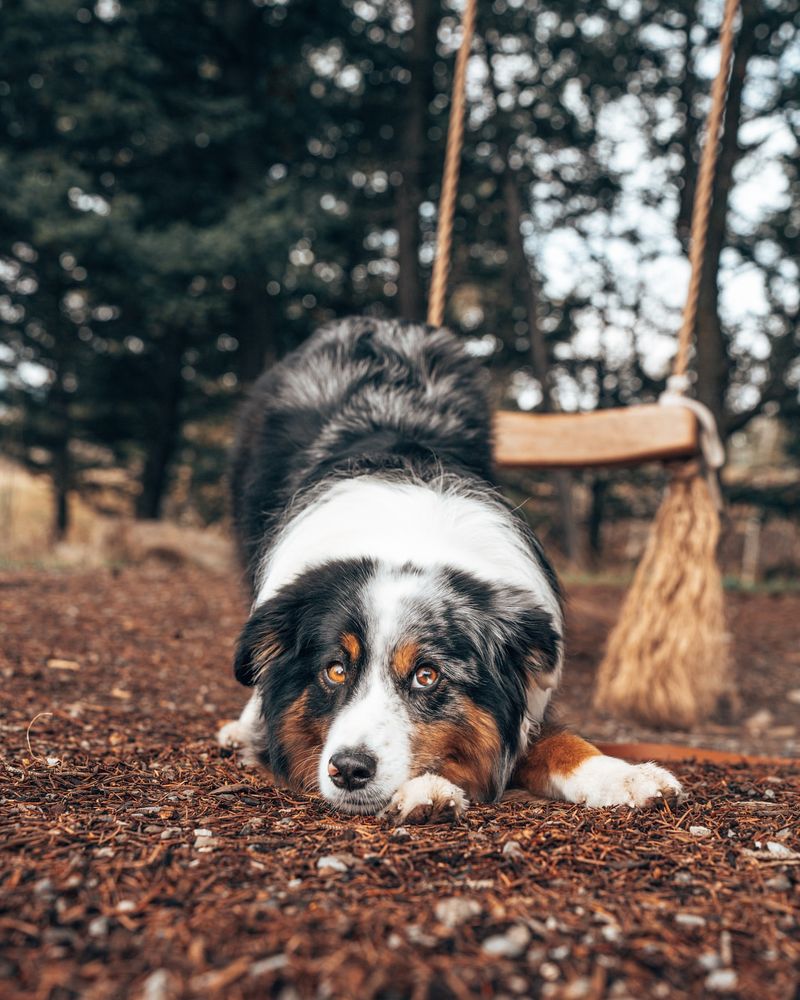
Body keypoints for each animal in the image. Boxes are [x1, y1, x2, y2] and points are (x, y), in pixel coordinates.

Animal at [219, 318, 680, 820]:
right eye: (335, 670)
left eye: (427, 675)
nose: (349, 769)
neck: (407, 534)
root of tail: (373, 324)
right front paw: (426, 789)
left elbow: (559, 740)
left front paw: (623, 774)